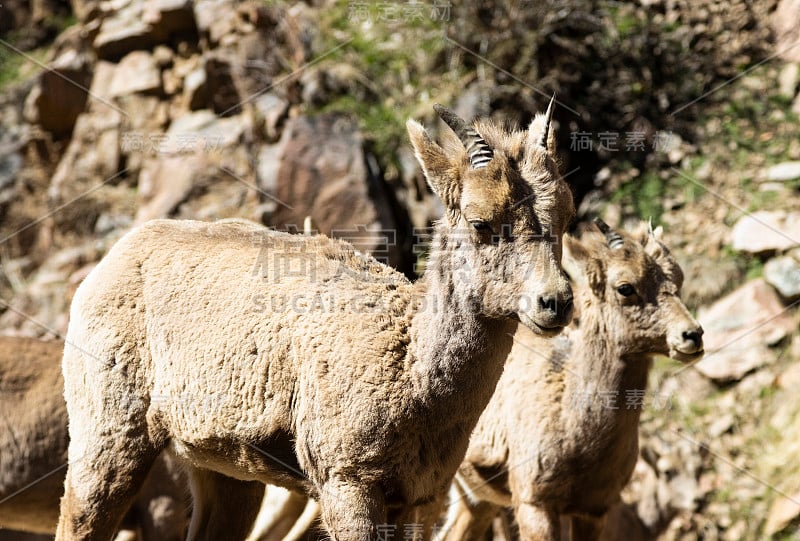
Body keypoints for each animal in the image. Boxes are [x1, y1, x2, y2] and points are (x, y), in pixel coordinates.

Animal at [54, 102, 576, 540]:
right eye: (480, 223)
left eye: (564, 219)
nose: (555, 302)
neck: (412, 374)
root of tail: (112, 261)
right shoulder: (348, 485)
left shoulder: (420, 500)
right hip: (109, 440)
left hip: (226, 477)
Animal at [444, 219, 708, 540]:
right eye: (625, 288)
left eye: (678, 279)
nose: (692, 335)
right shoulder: (535, 507)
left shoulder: (593, 511)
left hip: (476, 500)